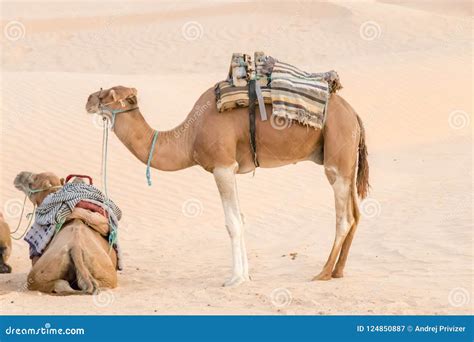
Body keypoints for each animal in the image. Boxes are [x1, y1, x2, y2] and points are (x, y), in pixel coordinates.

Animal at [85, 85, 368, 286]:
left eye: (109, 94)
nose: (88, 99)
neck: (189, 137)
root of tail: (354, 114)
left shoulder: (222, 166)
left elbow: (232, 223)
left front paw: (235, 279)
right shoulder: (229, 169)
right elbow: (240, 219)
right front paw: (246, 276)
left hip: (337, 153)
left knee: (344, 218)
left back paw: (323, 273)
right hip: (346, 162)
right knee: (356, 214)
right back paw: (338, 271)